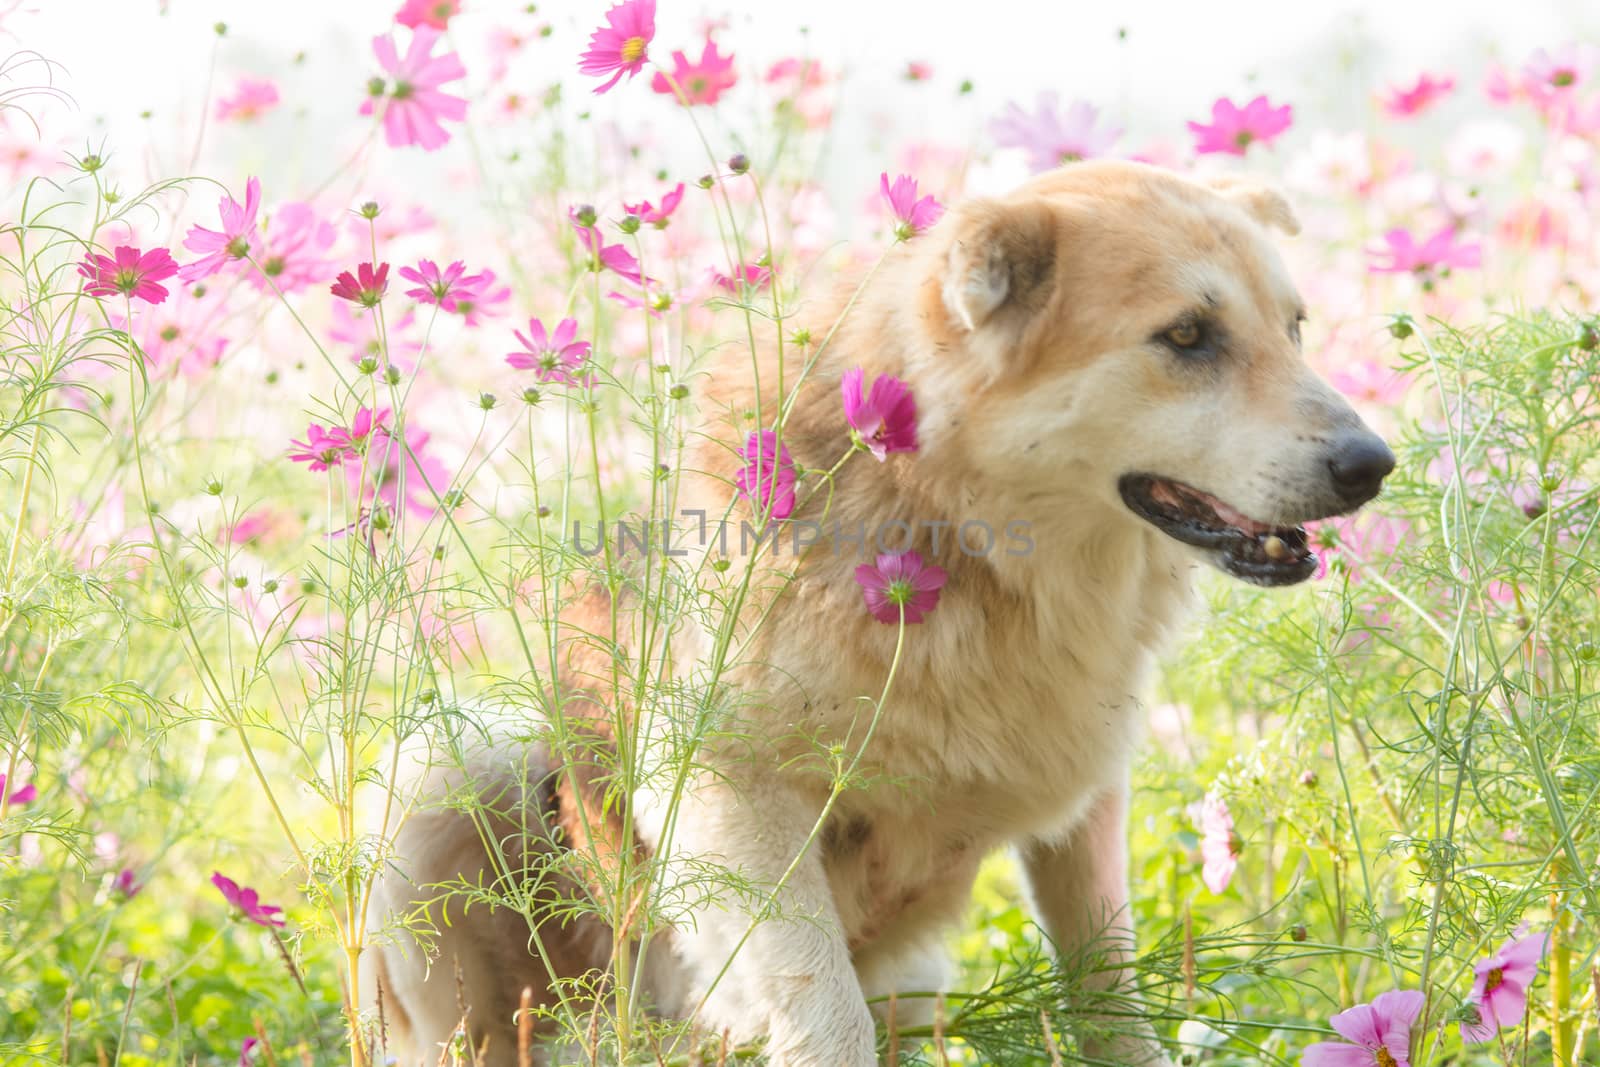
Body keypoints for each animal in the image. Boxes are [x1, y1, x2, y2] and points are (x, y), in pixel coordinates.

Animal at [363, 160, 1388, 1067]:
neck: (953, 532)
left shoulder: (1086, 807)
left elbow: (1109, 996)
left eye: (1296, 327)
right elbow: (825, 1012)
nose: (1373, 464)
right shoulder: (728, 793)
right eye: (1185, 336)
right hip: (449, 769)